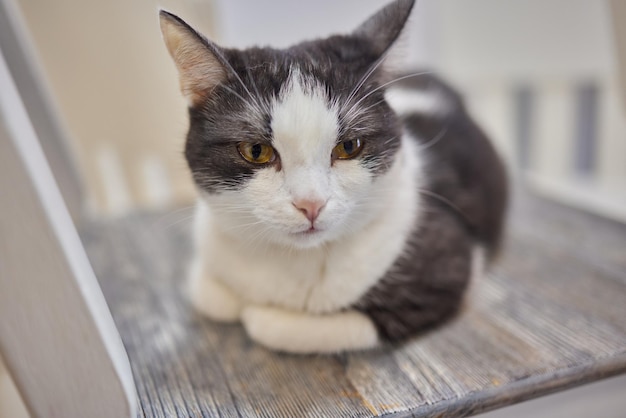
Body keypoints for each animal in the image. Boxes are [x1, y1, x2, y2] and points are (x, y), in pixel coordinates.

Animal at [157, 0, 508, 352]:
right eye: (256, 151)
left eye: (349, 146)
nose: (310, 203)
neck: (290, 260)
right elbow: (207, 292)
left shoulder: (448, 266)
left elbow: (292, 326)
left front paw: (261, 315)